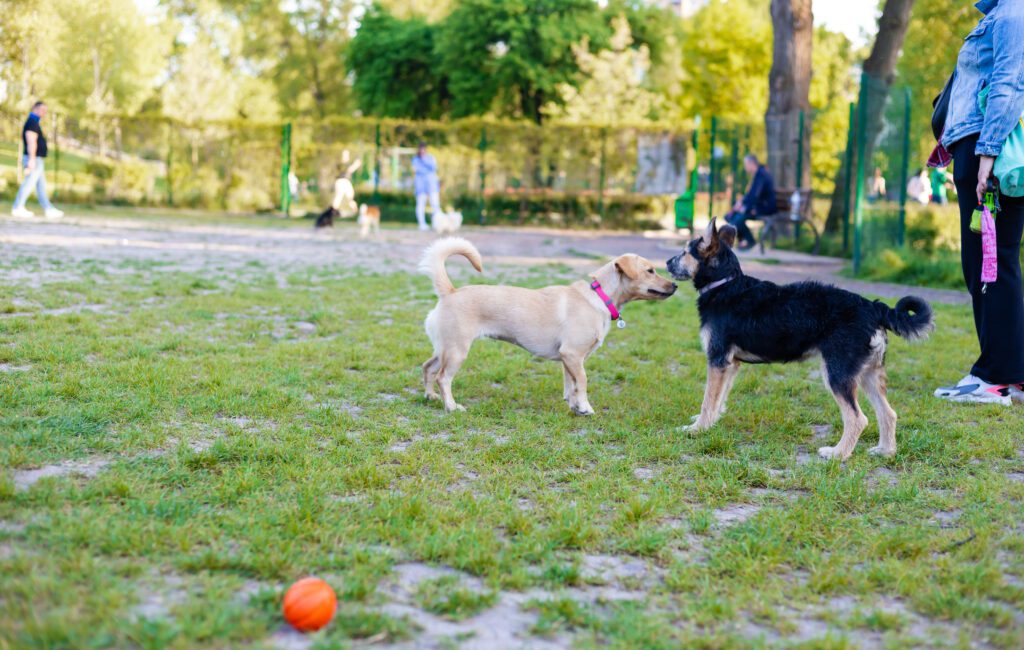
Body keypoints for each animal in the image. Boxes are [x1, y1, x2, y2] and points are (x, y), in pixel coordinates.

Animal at [419, 237, 675, 411]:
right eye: (650, 270)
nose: (675, 285)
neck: (598, 296)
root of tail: (450, 291)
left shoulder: (569, 359)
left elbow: (571, 384)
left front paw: (574, 406)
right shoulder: (573, 354)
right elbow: (582, 381)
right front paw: (585, 407)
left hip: (444, 349)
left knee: (428, 367)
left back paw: (430, 396)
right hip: (457, 351)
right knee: (443, 378)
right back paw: (451, 406)